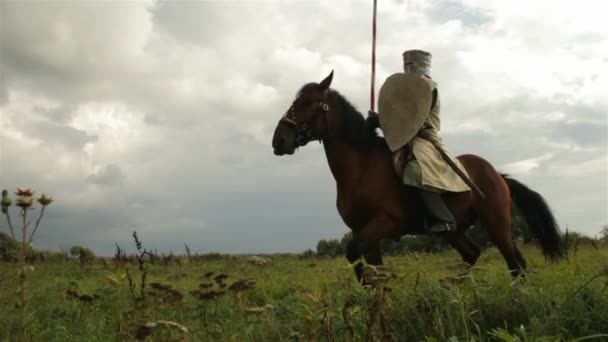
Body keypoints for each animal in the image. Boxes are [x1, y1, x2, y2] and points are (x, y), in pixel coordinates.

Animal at [274, 71, 564, 282]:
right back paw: (453, 285)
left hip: (497, 223)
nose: (279, 140)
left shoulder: (385, 223)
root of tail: (498, 175)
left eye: (306, 103)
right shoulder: (365, 232)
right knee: (475, 254)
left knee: (515, 264)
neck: (362, 167)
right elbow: (371, 272)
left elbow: (354, 254)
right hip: (454, 230)